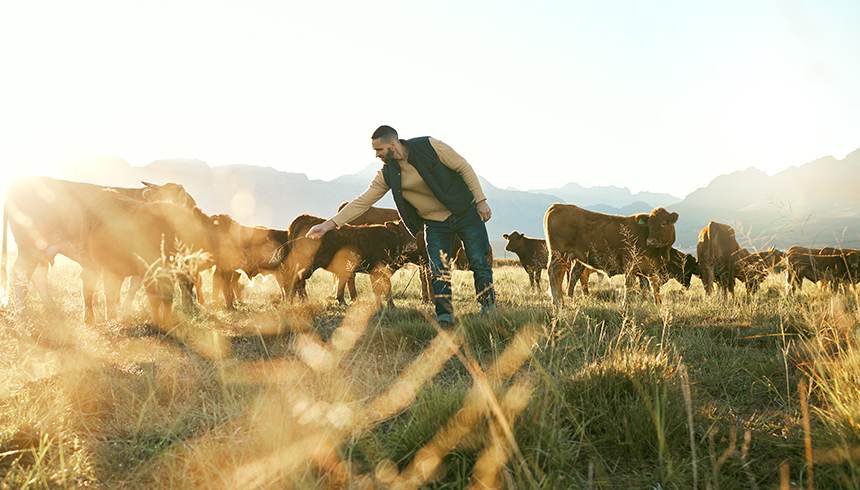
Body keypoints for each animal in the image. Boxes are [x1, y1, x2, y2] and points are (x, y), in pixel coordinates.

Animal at [2, 176, 197, 322]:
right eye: (158, 199)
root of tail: (20, 180)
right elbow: (129, 285)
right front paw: (119, 312)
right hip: (29, 247)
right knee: (21, 272)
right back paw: (22, 311)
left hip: (42, 250)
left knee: (37, 275)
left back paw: (51, 308)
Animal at [544, 202, 680, 302]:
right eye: (650, 225)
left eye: (663, 223)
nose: (650, 241)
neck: (660, 254)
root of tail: (557, 205)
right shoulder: (630, 263)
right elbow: (629, 285)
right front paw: (626, 306)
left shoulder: (653, 270)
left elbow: (654, 289)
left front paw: (658, 306)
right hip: (559, 254)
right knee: (555, 274)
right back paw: (558, 302)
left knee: (568, 276)